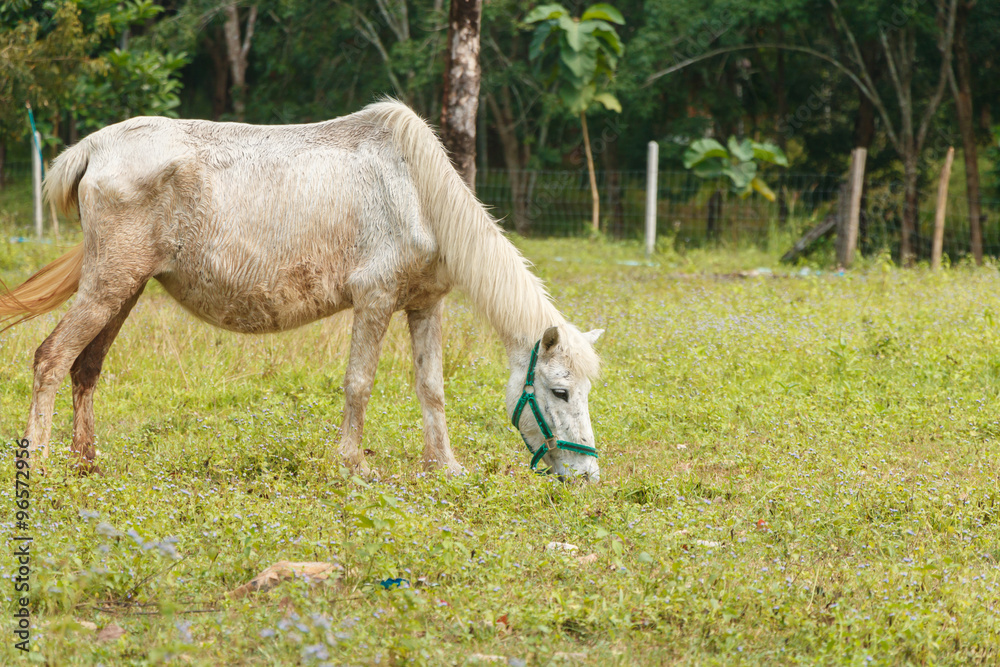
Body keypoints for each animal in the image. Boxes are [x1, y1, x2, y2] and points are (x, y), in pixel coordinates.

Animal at [0, 101, 603, 480]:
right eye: (559, 392)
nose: (588, 475)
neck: (416, 191)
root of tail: (94, 149)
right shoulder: (376, 300)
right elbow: (359, 384)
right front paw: (354, 465)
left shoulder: (424, 305)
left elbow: (431, 387)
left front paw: (444, 466)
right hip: (107, 289)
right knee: (50, 359)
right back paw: (41, 463)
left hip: (122, 291)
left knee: (85, 368)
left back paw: (88, 463)